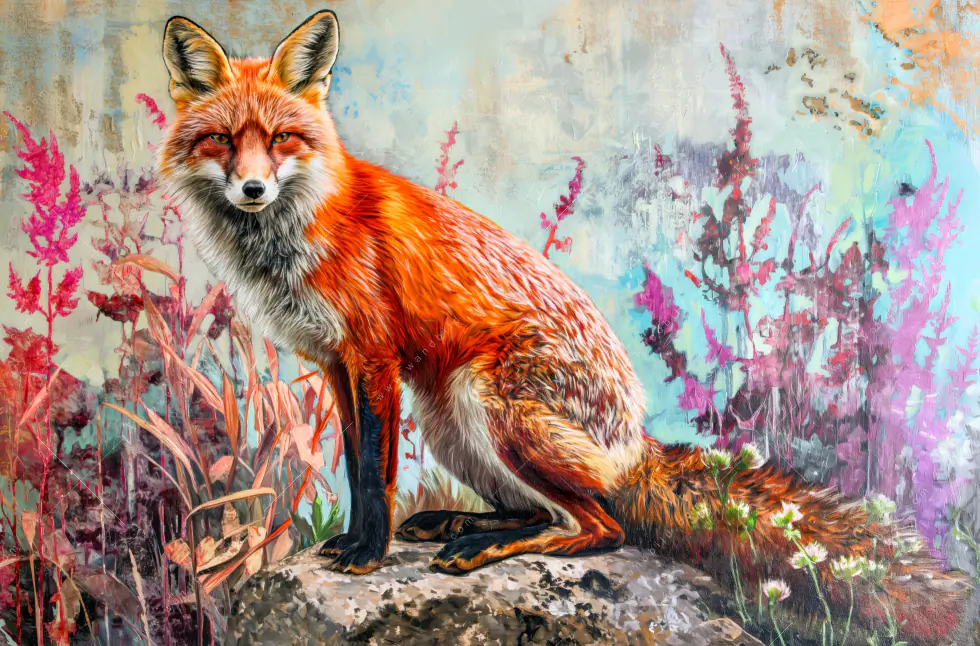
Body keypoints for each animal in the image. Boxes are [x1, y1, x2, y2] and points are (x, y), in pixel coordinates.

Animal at [158, 10, 969, 644]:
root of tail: (633, 440)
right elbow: (359, 462)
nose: (252, 188)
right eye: (223, 141)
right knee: (539, 508)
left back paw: (481, 548)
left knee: (599, 525)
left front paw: (366, 553)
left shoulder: (374, 359)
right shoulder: (336, 363)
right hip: (452, 420)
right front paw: (360, 542)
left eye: (281, 138)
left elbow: (373, 475)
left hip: (490, 403)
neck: (298, 234)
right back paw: (462, 525)